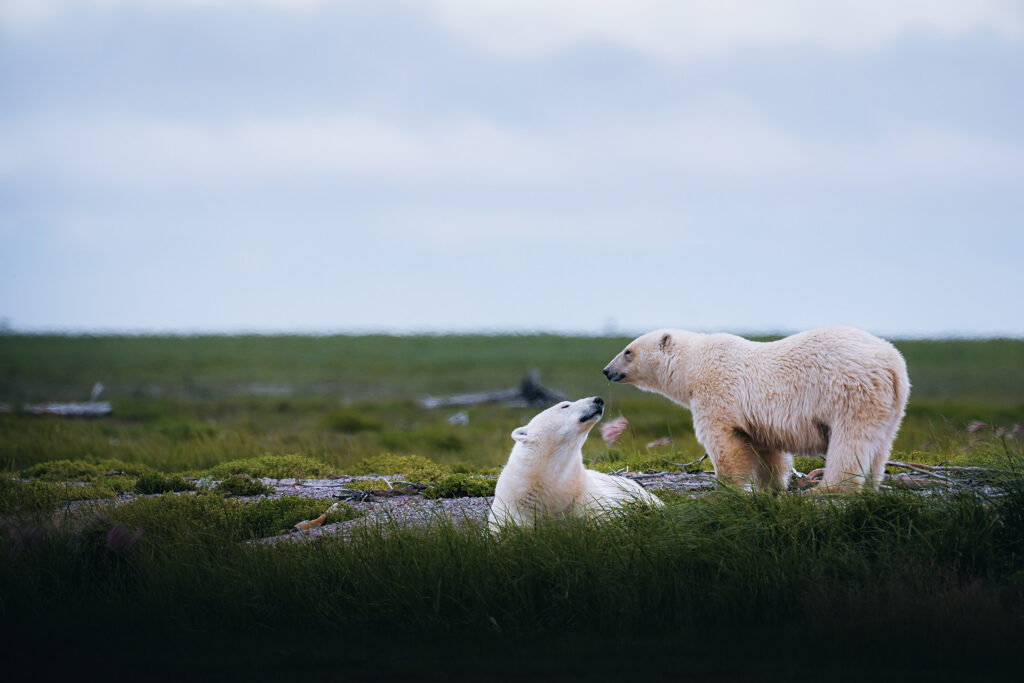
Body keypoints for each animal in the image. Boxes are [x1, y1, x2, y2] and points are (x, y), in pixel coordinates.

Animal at [602, 326, 909, 491]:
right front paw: (770, 487)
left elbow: (724, 443)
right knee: (879, 447)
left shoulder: (716, 392)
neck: (693, 365)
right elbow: (767, 452)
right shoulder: (759, 419)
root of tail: (892, 364)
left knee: (849, 443)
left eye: (628, 351)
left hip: (849, 393)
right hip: (891, 405)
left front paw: (729, 488)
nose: (606, 370)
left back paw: (828, 491)